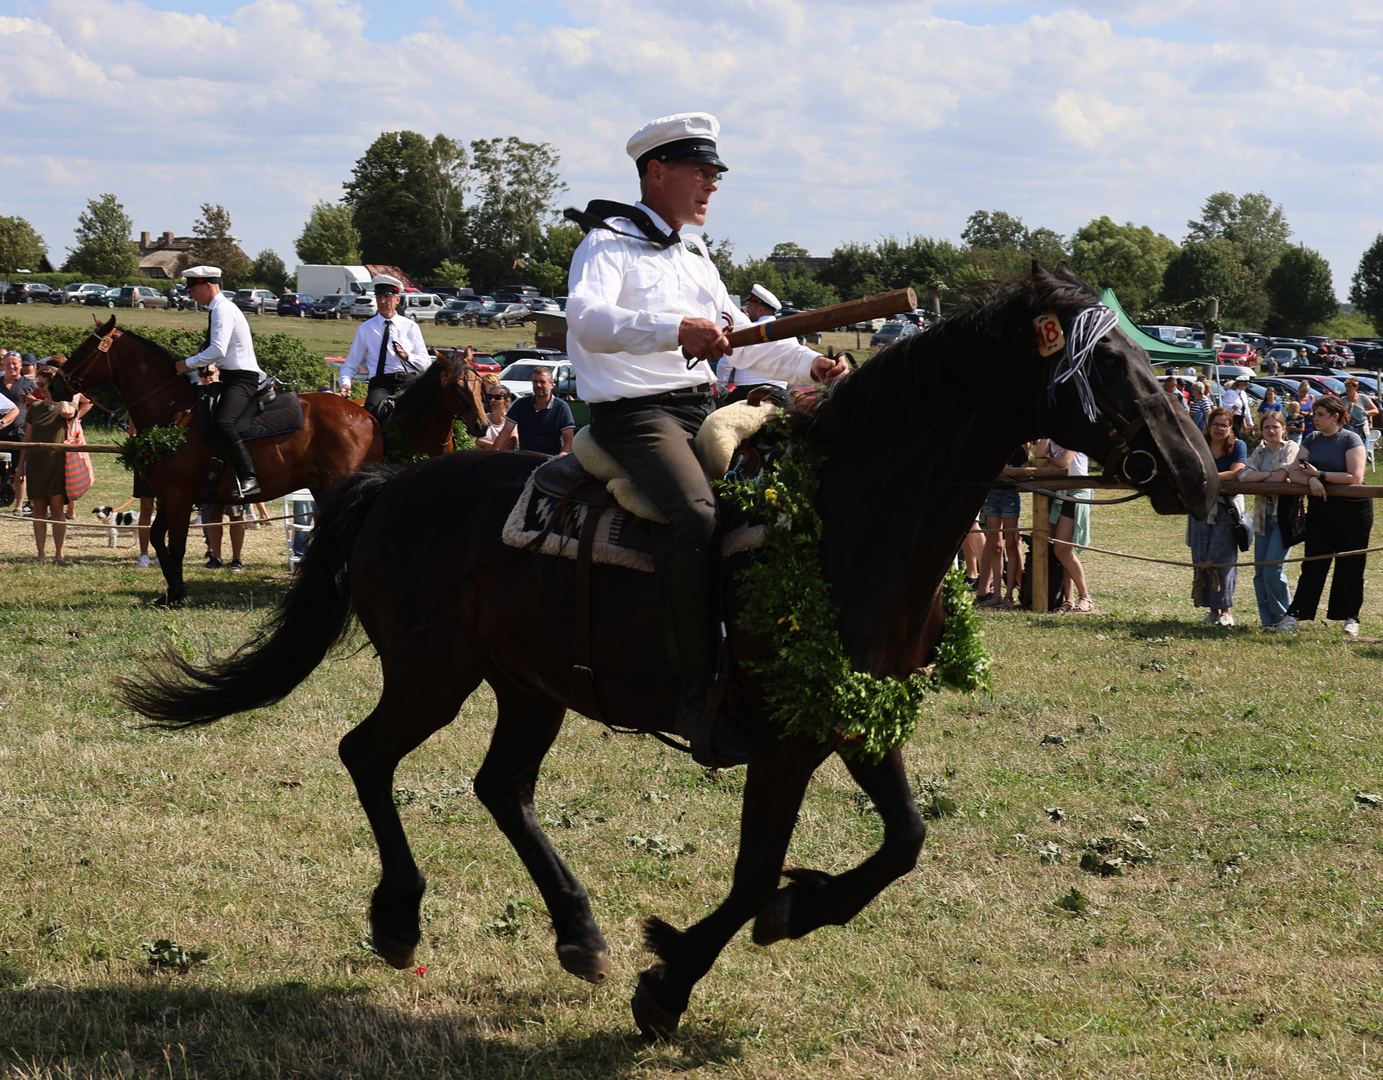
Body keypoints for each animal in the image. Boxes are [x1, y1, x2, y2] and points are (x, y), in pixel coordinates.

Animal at [60, 320, 384, 602]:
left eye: (85, 349)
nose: (55, 384)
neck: (175, 411)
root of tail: (366, 415)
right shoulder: (169, 497)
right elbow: (156, 537)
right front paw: (173, 590)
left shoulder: (178, 496)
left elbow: (176, 545)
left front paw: (176, 595)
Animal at [121, 262, 1222, 1034]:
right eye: (1107, 364)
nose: (1198, 471)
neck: (847, 519)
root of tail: (395, 481)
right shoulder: (782, 740)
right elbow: (751, 874)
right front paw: (673, 980)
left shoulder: (852, 716)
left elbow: (902, 843)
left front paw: (796, 912)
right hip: (434, 676)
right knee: (368, 755)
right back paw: (401, 918)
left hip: (529, 686)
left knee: (500, 789)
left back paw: (578, 931)